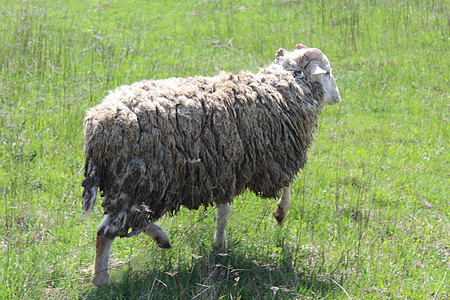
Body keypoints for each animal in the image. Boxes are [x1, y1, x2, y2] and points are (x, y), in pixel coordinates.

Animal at [81, 43, 342, 284]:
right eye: (327, 72)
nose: (339, 97)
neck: (282, 88)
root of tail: (97, 124)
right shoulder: (274, 156)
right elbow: (286, 185)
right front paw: (280, 212)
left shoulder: (225, 167)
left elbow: (223, 212)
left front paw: (219, 245)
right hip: (138, 178)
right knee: (108, 230)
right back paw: (101, 279)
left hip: (134, 183)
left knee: (125, 220)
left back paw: (160, 239)